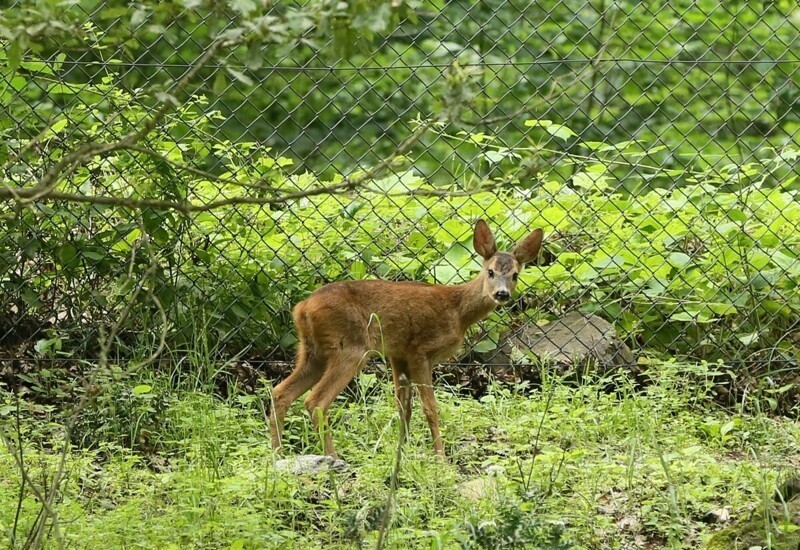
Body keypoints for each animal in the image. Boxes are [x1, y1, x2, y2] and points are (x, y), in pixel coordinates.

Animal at [268, 218, 544, 460]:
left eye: (515, 275)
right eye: (490, 271)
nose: (501, 294)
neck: (458, 311)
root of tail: (303, 307)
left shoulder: (397, 353)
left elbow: (404, 407)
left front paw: (405, 450)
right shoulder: (420, 350)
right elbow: (430, 408)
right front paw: (440, 458)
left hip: (312, 351)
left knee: (280, 392)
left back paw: (278, 454)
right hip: (351, 348)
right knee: (315, 401)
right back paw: (332, 457)